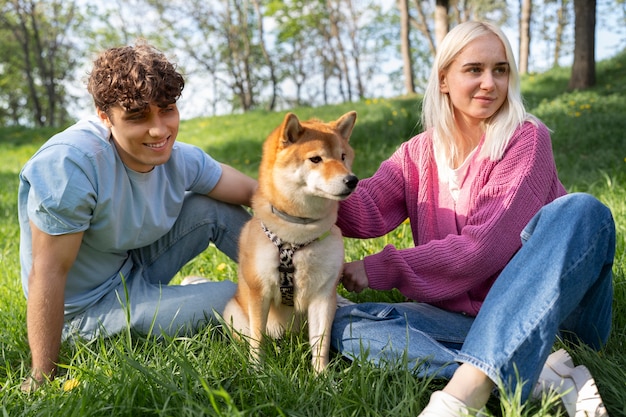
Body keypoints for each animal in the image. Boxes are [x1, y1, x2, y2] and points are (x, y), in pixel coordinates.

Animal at [222, 109, 356, 370]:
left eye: (343, 156)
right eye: (316, 159)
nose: (352, 180)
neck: (299, 234)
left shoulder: (324, 295)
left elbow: (321, 343)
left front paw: (322, 375)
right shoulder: (259, 292)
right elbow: (257, 339)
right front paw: (257, 370)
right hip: (233, 311)